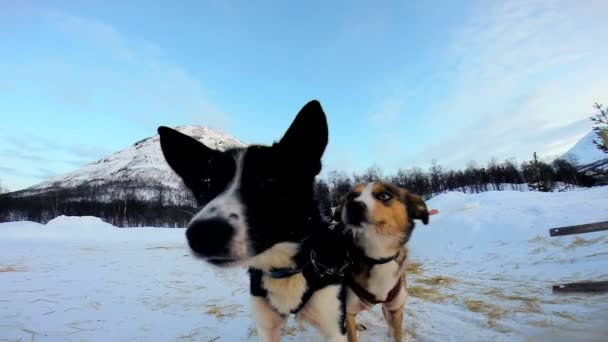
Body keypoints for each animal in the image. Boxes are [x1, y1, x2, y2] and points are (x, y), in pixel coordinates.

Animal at [159, 100, 350, 340]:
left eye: (270, 181)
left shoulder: (335, 328)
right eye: (207, 184)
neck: (283, 268)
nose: (204, 234)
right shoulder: (266, 327)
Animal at [334, 183, 430, 340]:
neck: (378, 259)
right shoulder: (349, 309)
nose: (353, 205)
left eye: (384, 195)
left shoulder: (395, 309)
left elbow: (397, 334)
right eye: (351, 196)